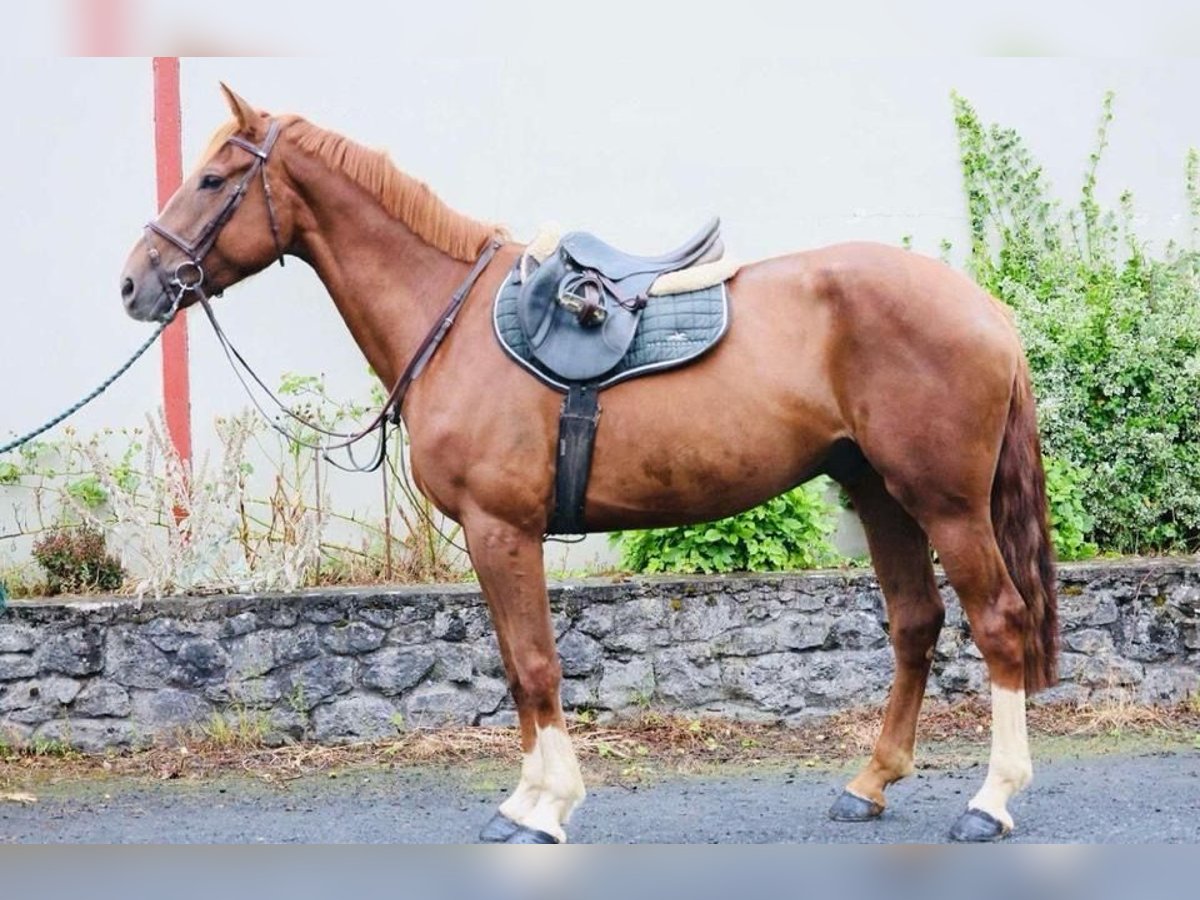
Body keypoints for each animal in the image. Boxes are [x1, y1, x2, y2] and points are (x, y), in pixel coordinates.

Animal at [119, 86, 1060, 844]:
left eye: (214, 180)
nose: (134, 284)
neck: (450, 318)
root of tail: (984, 307)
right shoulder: (494, 538)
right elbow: (516, 665)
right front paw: (526, 800)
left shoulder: (503, 529)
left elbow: (536, 665)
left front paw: (546, 809)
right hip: (880, 492)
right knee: (915, 624)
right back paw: (869, 784)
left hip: (944, 503)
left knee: (999, 622)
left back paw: (990, 801)